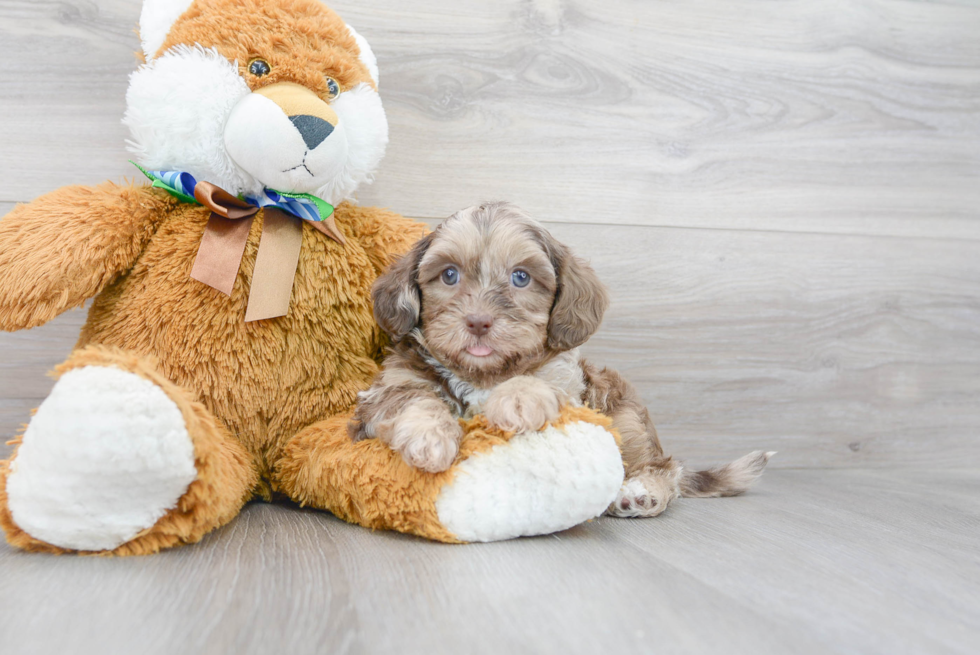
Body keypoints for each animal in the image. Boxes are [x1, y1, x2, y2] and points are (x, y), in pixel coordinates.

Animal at [352, 201, 772, 516]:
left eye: (521, 277)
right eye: (449, 275)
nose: (478, 321)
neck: (483, 374)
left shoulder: (569, 385)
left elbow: (540, 382)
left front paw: (518, 399)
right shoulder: (383, 393)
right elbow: (413, 397)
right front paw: (430, 437)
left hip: (624, 417)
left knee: (665, 466)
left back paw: (642, 493)